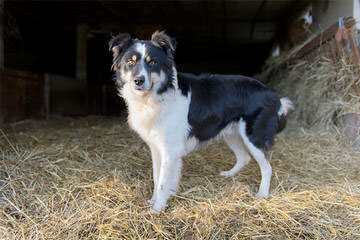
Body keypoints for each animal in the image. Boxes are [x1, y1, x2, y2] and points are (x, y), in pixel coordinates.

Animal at [108, 31, 294, 213]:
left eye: (152, 62)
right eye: (130, 62)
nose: (138, 81)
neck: (158, 95)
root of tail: (274, 96)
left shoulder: (170, 150)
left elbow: (161, 182)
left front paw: (158, 208)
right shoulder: (156, 147)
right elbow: (157, 176)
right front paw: (157, 199)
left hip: (253, 137)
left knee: (267, 167)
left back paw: (262, 194)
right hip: (232, 134)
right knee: (244, 158)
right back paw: (229, 175)